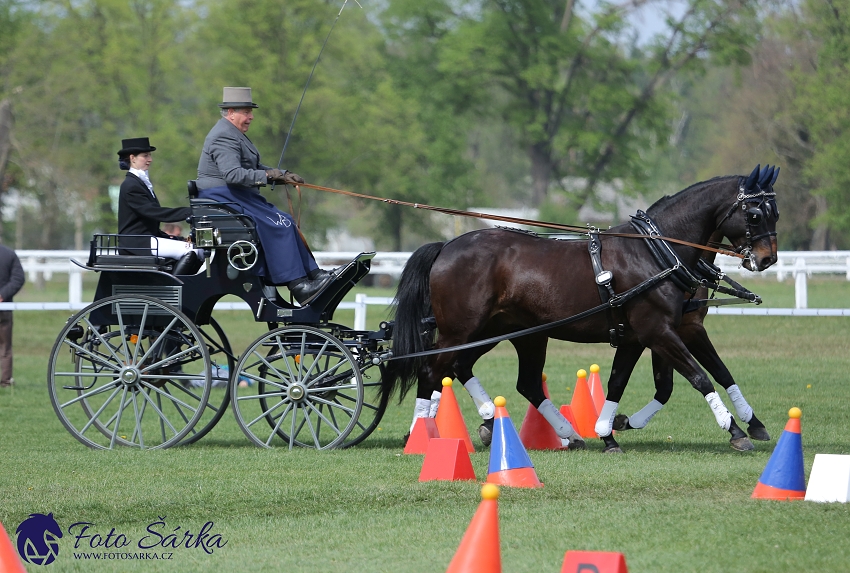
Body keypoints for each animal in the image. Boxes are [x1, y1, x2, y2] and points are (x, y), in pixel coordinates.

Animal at [380, 168, 780, 450]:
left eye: (775, 212)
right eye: (755, 215)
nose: (768, 259)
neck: (656, 252)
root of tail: (447, 246)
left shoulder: (648, 335)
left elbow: (628, 381)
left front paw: (608, 432)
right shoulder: (659, 332)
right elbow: (700, 376)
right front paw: (735, 430)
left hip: (510, 333)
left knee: (500, 376)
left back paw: (535, 427)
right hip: (460, 331)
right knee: (432, 371)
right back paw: (423, 433)